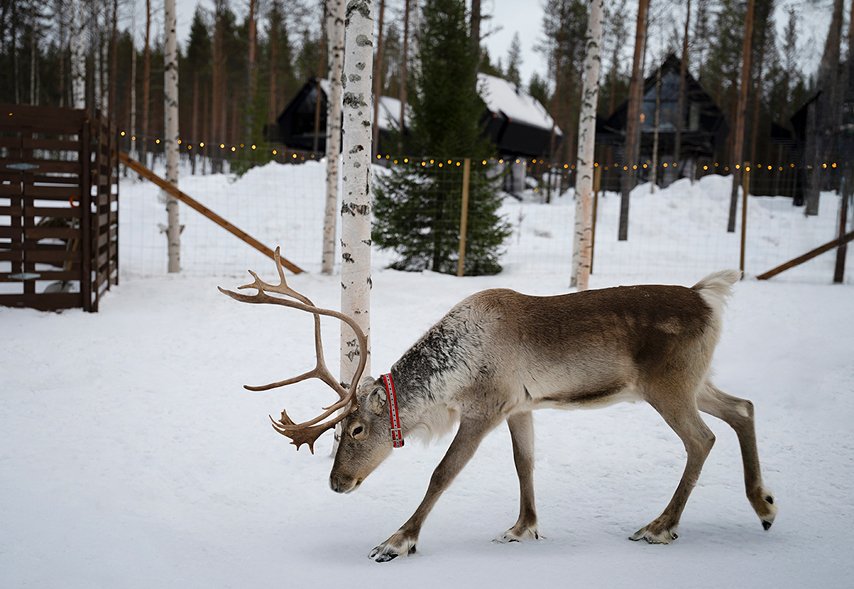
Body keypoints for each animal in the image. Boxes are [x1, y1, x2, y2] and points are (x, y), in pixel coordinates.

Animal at [219, 250, 777, 563]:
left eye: (354, 430)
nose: (337, 483)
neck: (453, 374)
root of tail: (708, 297)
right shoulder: (520, 407)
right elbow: (523, 463)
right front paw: (522, 527)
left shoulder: (484, 409)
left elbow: (442, 474)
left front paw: (397, 541)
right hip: (694, 381)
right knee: (744, 407)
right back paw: (764, 505)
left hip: (668, 385)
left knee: (703, 438)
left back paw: (660, 527)